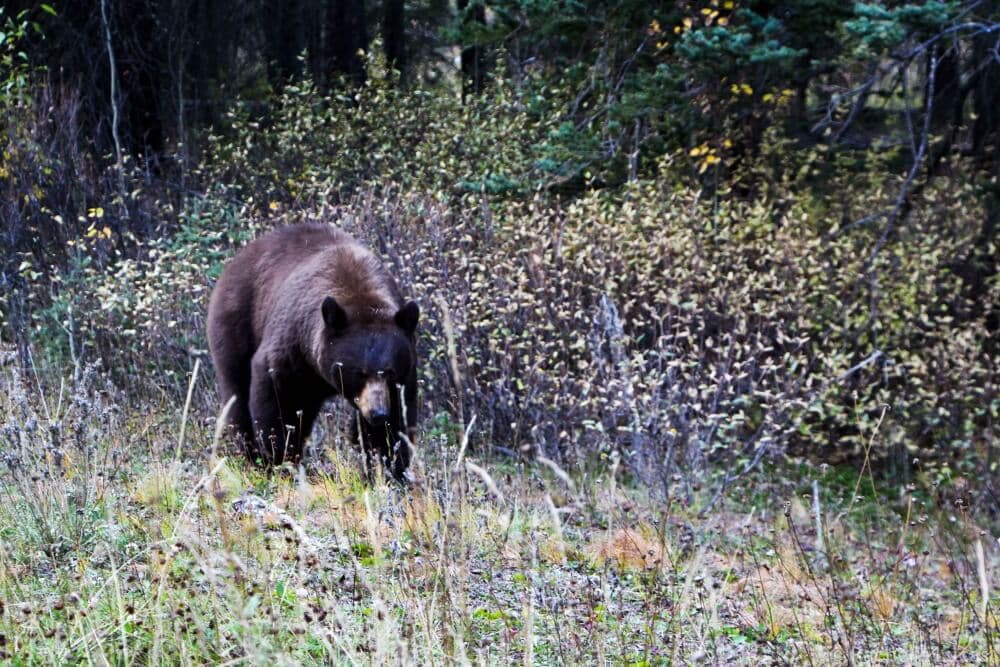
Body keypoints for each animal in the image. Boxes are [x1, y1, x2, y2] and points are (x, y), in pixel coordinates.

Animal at [207, 224, 418, 480]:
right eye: (359, 372)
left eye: (390, 372)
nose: (377, 412)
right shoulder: (294, 347)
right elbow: (277, 397)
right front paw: (279, 458)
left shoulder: (405, 371)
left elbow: (397, 419)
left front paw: (388, 467)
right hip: (235, 325)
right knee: (237, 394)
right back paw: (250, 454)